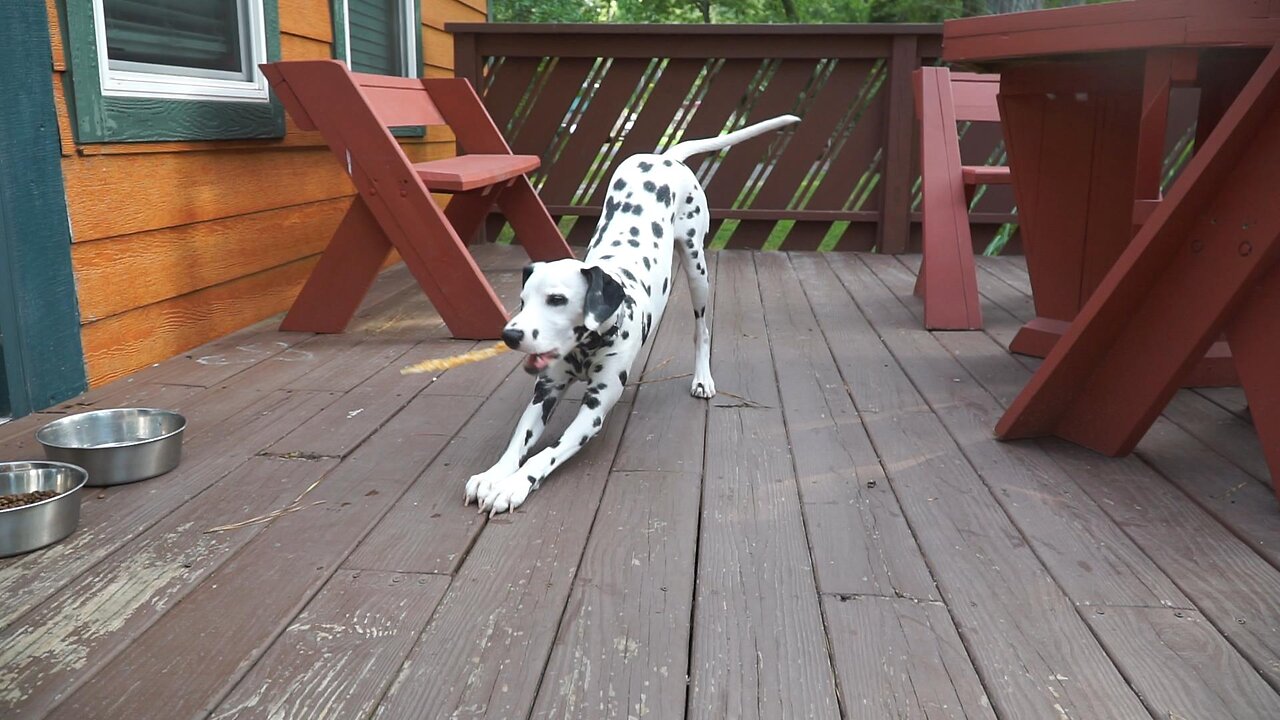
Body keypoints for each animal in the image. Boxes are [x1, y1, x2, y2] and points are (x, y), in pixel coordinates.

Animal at [465, 114, 793, 512]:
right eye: (523, 301)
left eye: (557, 299)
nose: (510, 335)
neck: (590, 344)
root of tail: (666, 157)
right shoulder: (545, 391)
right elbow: (518, 442)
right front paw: (493, 475)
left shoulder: (594, 410)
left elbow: (545, 455)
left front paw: (512, 485)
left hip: (697, 269)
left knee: (701, 328)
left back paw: (702, 378)